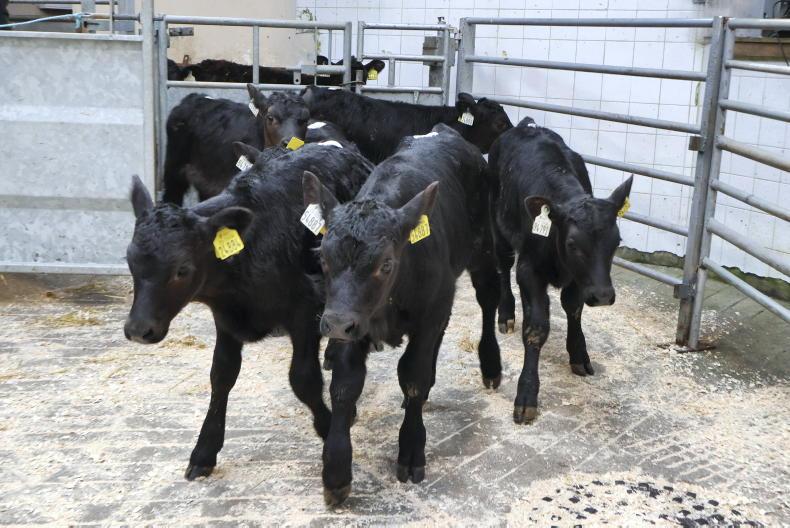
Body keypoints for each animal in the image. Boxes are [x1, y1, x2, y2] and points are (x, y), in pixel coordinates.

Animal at [124, 142, 374, 482]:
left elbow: (303, 379)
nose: (138, 329)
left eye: (182, 269)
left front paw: (327, 423)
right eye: (129, 260)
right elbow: (221, 375)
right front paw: (204, 450)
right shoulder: (226, 319)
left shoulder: (305, 313)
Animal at [302, 124, 502, 505]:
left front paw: (411, 448)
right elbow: (345, 385)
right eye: (322, 257)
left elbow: (413, 376)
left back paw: (491, 365)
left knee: (488, 300)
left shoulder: (430, 310)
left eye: (386, 264)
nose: (333, 325)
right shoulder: (352, 321)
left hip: (483, 251)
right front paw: (336, 468)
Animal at [488, 117, 633, 424]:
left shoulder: (581, 279)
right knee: (503, 266)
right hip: (498, 226)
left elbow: (573, 308)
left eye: (617, 241)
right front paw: (526, 394)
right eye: (572, 243)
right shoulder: (528, 270)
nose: (604, 296)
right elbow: (536, 327)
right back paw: (506, 314)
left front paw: (579, 353)